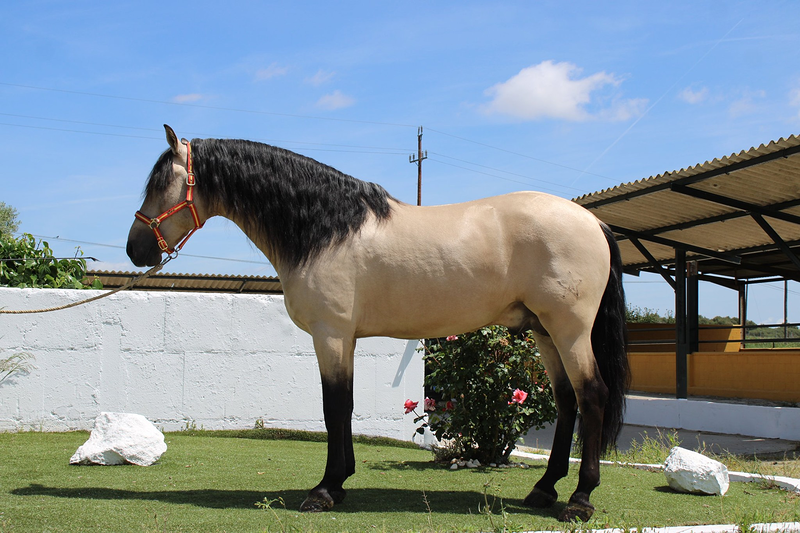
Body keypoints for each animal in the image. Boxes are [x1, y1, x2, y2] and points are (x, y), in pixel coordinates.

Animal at [127, 125, 629, 523]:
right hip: (545, 331)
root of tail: (594, 222)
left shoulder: (330, 335)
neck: (325, 229)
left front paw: (324, 491)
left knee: (592, 395)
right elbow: (345, 406)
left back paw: (579, 500)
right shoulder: (344, 338)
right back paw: (543, 490)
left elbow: (333, 408)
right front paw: (340, 482)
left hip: (569, 330)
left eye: (161, 184)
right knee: (567, 400)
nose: (135, 250)